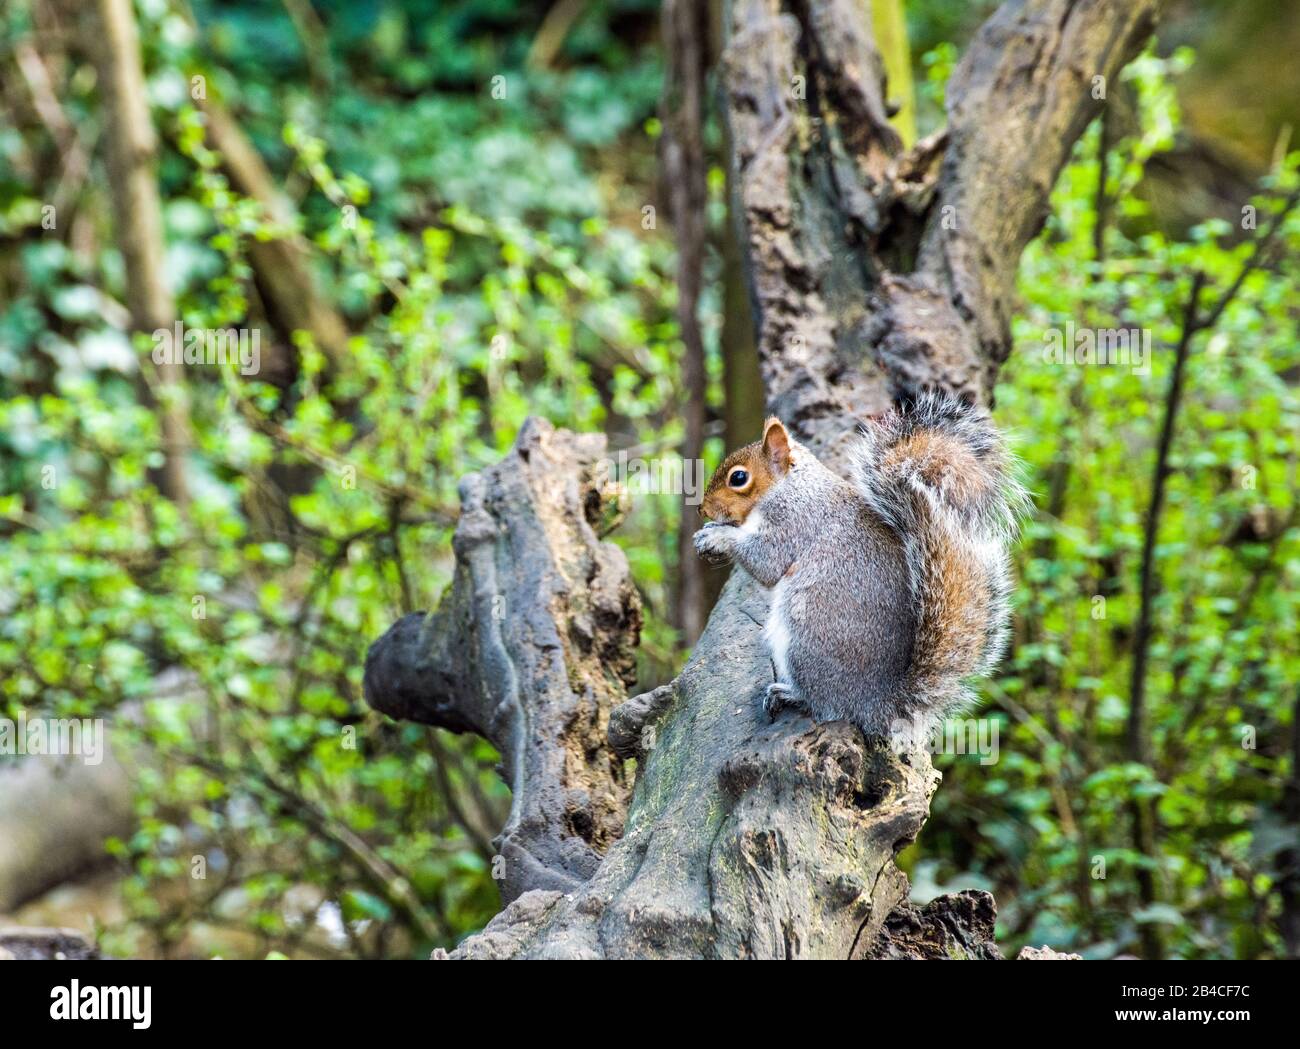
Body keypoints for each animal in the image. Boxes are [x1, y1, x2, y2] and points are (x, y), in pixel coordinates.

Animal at [696, 389, 1019, 743]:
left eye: (738, 478)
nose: (702, 509)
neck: (789, 485)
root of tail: (874, 703)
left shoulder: (793, 523)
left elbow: (766, 561)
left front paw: (718, 536)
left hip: (804, 637)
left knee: (825, 704)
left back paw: (790, 693)